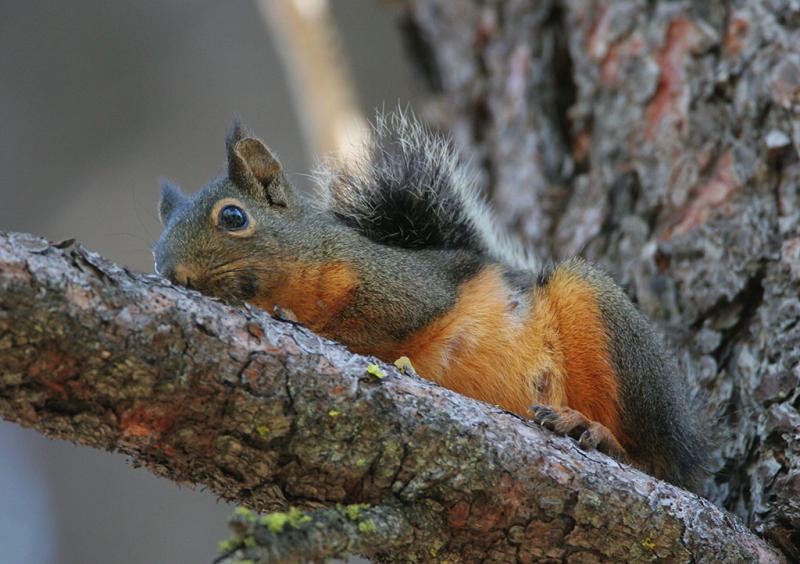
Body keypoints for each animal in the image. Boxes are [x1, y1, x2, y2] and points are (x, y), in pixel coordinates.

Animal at [155, 110, 708, 490]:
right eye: (155, 247)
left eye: (233, 217)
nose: (172, 273)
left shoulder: (406, 287)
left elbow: (375, 322)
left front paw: (294, 319)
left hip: (602, 318)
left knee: (666, 465)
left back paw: (594, 430)